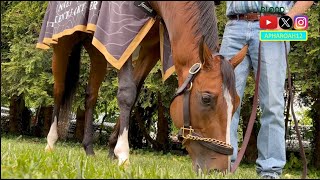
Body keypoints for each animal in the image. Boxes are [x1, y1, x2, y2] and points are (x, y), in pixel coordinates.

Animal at [43, 0, 248, 174]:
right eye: (206, 98)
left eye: (237, 103)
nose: (219, 170)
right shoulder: (121, 36)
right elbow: (127, 93)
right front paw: (123, 155)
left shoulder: (150, 48)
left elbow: (135, 93)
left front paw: (112, 150)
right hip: (63, 40)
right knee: (59, 90)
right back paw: (50, 143)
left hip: (98, 49)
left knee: (91, 95)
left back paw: (88, 149)